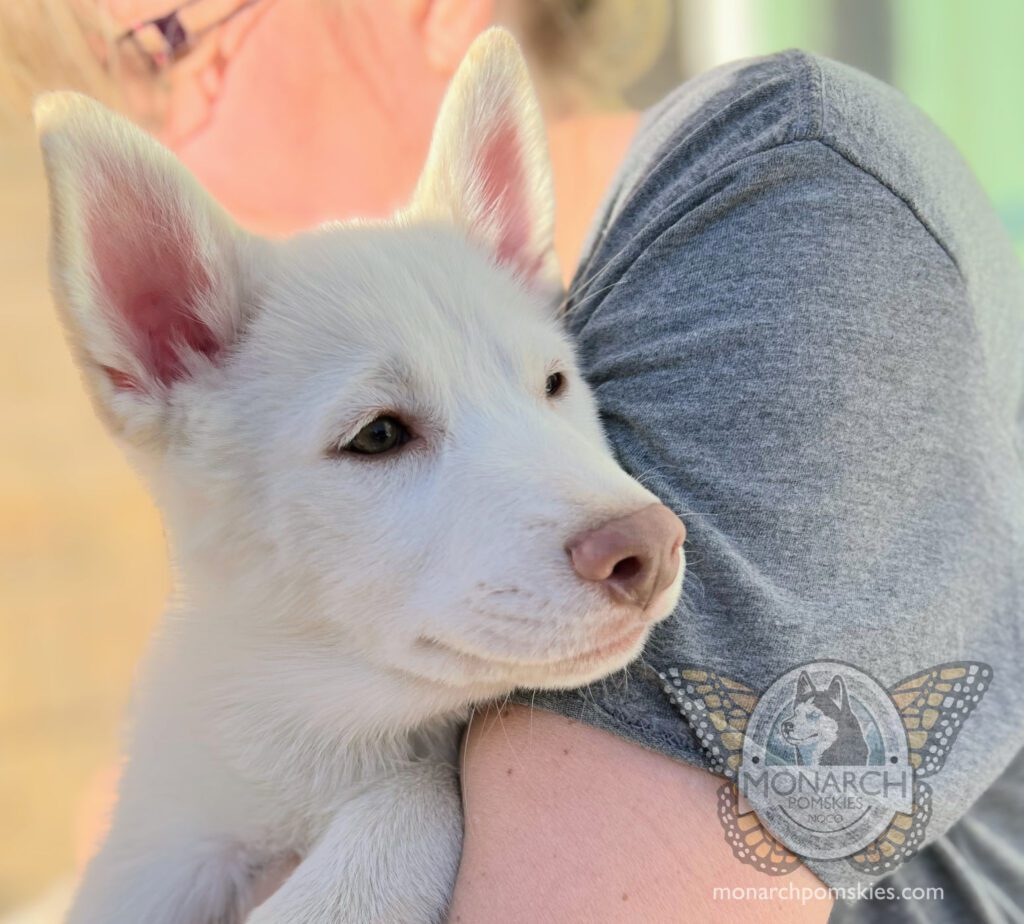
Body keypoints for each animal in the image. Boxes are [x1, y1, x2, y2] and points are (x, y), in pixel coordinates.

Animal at [36, 28, 684, 924]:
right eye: (377, 436)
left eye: (554, 385)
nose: (651, 547)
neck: (317, 729)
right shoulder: (154, 845)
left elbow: (419, 787)